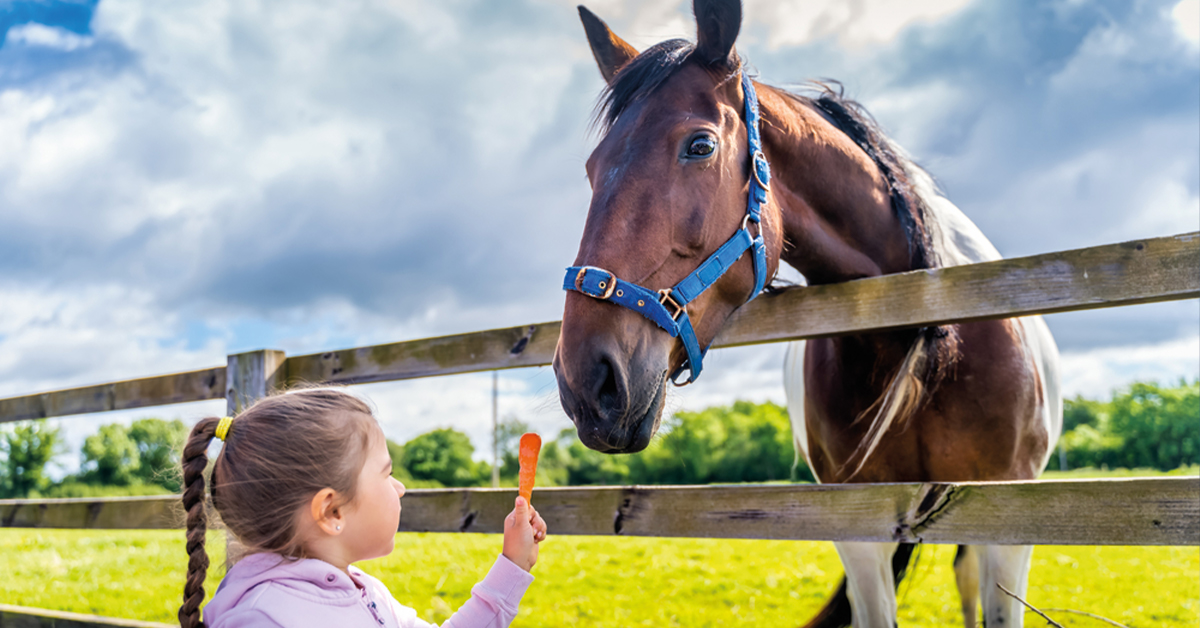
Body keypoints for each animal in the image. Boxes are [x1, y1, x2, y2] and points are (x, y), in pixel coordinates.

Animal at [549, 1, 1060, 628]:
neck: (915, 333)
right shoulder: (860, 524)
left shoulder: (1009, 514)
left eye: (699, 146)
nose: (586, 381)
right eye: (592, 168)